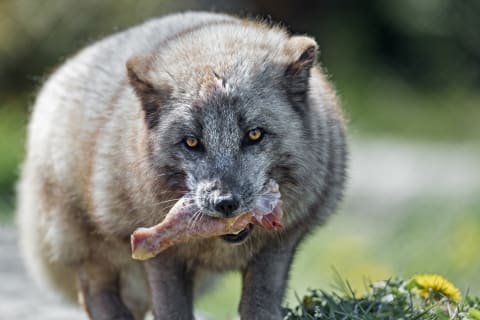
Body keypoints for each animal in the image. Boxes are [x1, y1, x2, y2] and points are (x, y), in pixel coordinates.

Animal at [16, 11, 346, 320]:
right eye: (191, 142)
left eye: (254, 134)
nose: (225, 203)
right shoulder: (161, 253)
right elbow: (171, 310)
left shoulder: (279, 244)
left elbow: (260, 306)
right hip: (87, 242)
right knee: (96, 295)